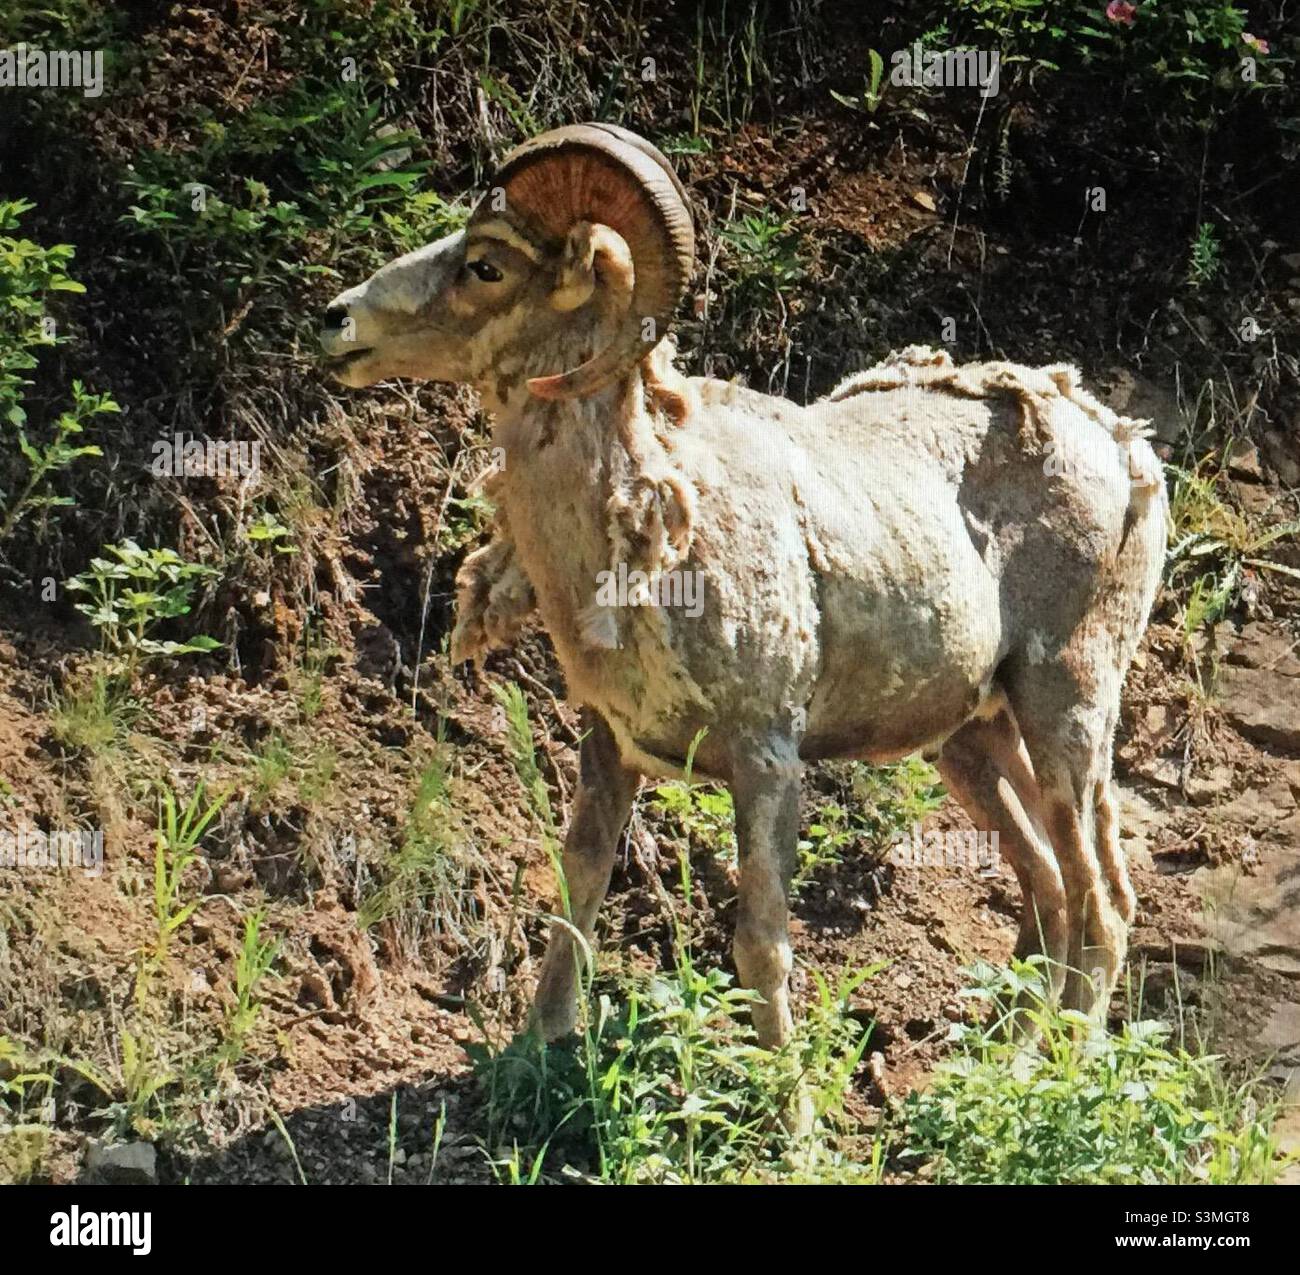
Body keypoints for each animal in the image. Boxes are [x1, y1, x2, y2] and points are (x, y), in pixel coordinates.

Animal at [322, 122, 1170, 1055]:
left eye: (486, 264)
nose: (336, 320)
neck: (650, 541)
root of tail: (1122, 442)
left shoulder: (766, 760)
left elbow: (760, 943)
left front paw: (785, 1088)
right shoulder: (610, 745)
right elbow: (580, 891)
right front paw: (538, 1047)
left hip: (1068, 706)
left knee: (1103, 902)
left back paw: (1059, 1061)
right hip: (976, 736)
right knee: (1047, 883)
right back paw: (998, 1055)